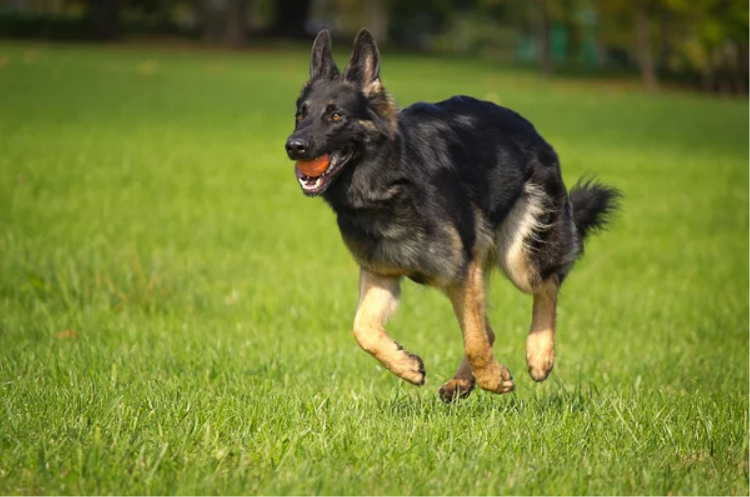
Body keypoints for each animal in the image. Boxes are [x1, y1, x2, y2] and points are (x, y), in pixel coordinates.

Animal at [284, 28, 620, 404]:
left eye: (336, 116)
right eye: (301, 114)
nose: (293, 146)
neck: (390, 181)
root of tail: (530, 129)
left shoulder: (461, 270)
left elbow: (473, 340)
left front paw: (493, 378)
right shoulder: (382, 274)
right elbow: (362, 329)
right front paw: (406, 365)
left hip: (517, 258)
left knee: (546, 284)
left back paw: (538, 354)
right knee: (487, 327)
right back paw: (461, 381)